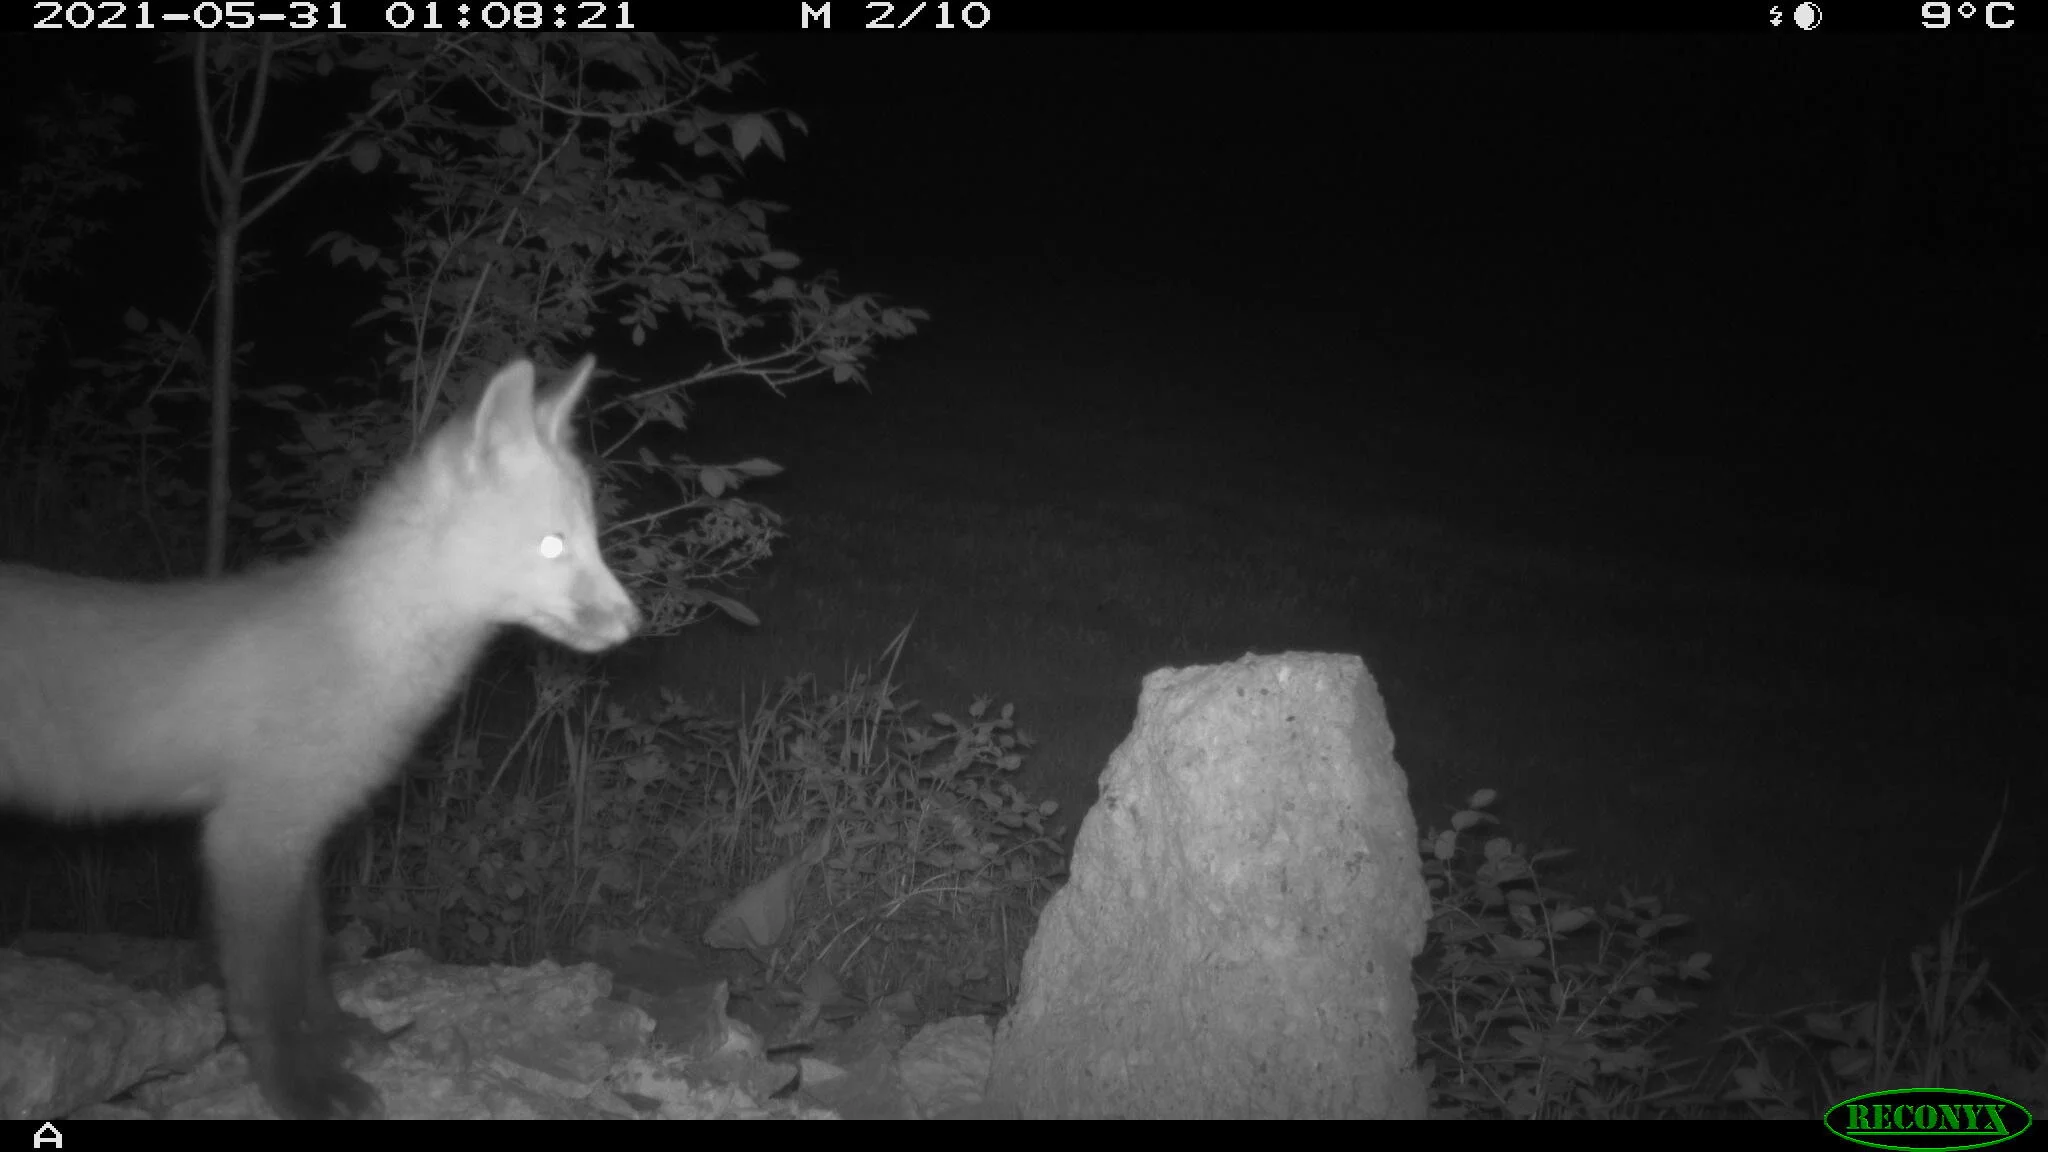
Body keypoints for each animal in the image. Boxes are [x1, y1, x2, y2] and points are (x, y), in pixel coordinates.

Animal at [0, 356, 641, 1119]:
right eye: (552, 543)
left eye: (593, 538)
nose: (633, 623)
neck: (362, 651)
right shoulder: (250, 836)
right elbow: (266, 993)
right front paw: (300, 1088)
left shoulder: (304, 836)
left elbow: (309, 963)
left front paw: (337, 1038)